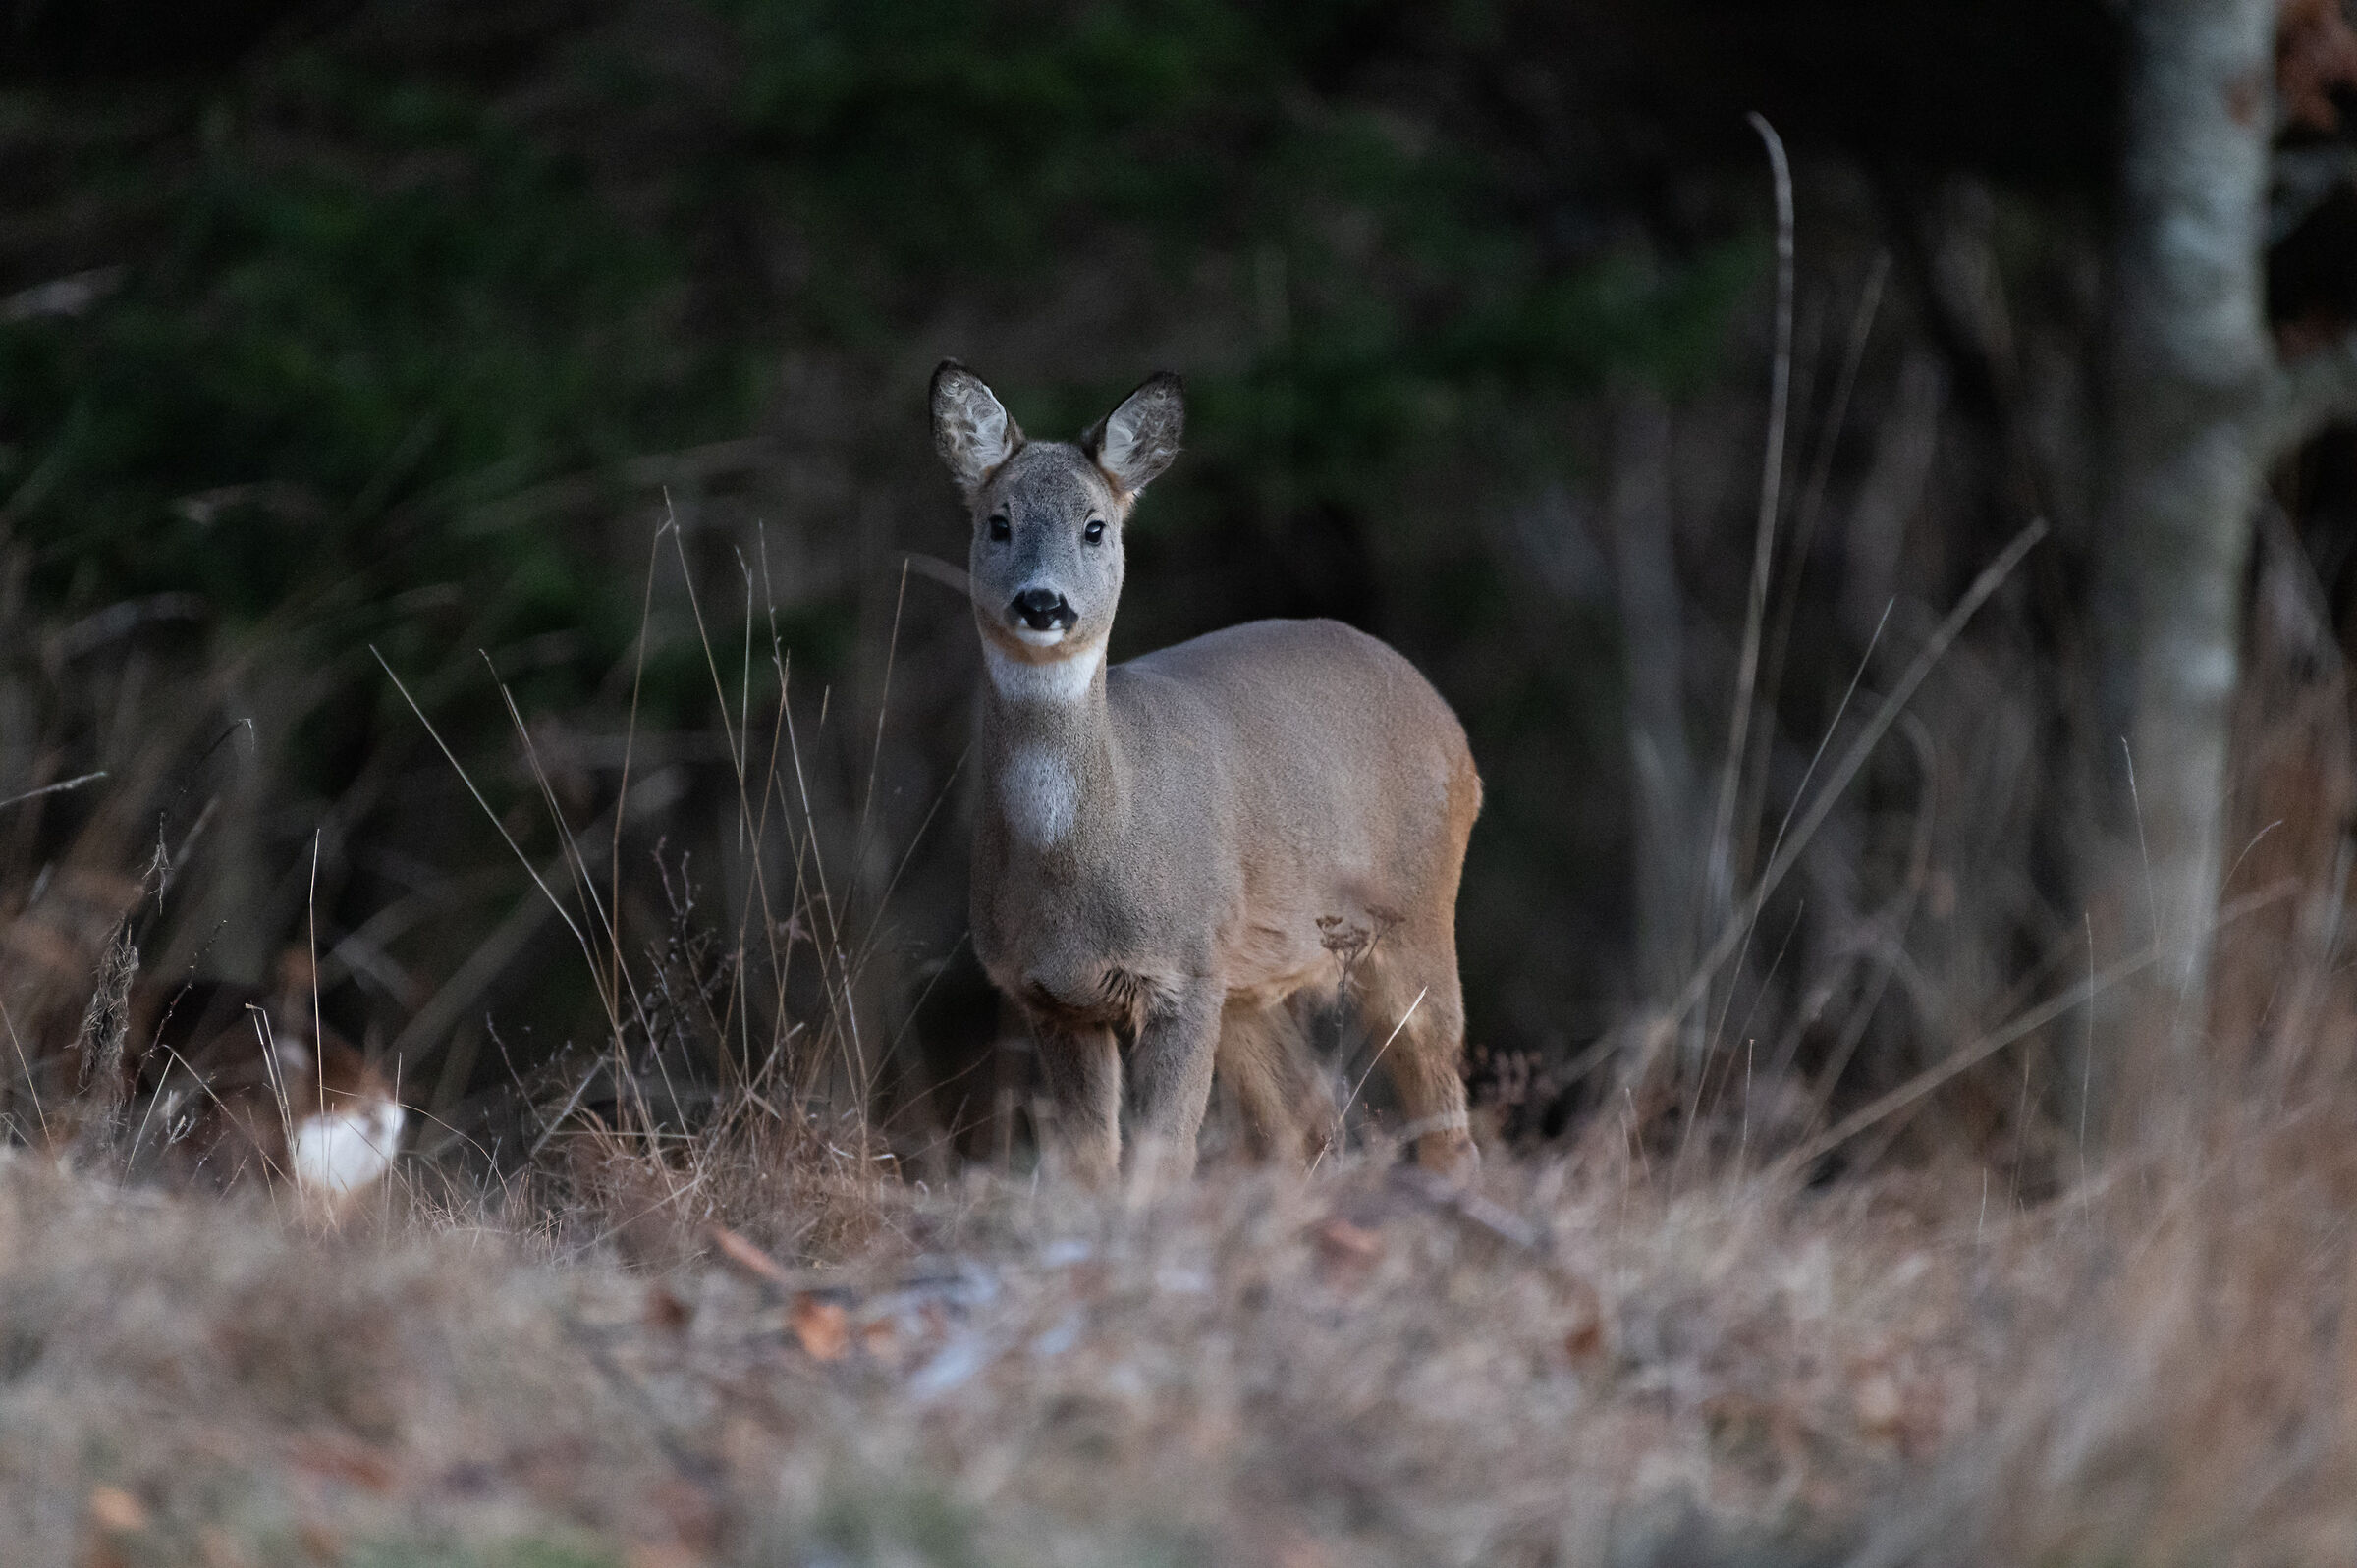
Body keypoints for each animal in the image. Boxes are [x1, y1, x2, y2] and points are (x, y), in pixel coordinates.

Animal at [931, 361, 1483, 1186]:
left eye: (1095, 525)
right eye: (998, 521)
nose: (1042, 602)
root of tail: (1454, 730)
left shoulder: (1182, 973)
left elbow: (1164, 1154)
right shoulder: (1050, 994)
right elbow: (1091, 1162)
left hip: (1414, 914)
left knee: (1446, 1118)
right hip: (1253, 977)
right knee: (1306, 1119)